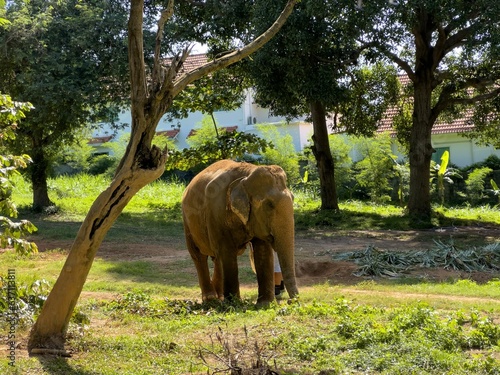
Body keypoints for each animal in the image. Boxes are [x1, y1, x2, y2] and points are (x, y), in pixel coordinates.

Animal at [182, 160, 298, 306]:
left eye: (293, 198)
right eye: (269, 205)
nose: (290, 301)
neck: (247, 175)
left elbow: (263, 251)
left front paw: (264, 304)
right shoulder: (216, 211)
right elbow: (227, 251)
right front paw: (234, 303)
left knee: (216, 257)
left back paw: (220, 297)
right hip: (187, 221)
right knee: (199, 256)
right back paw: (211, 299)